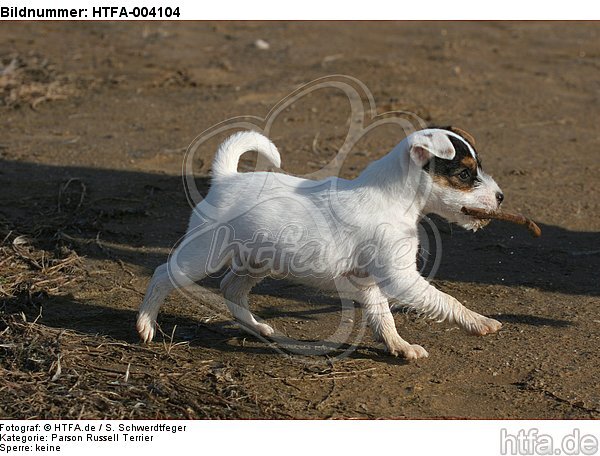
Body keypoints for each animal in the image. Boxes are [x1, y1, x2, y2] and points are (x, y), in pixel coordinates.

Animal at [135, 126, 502, 358]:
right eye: (465, 174)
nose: (501, 197)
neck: (392, 197)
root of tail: (227, 179)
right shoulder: (400, 278)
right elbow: (446, 300)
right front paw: (479, 322)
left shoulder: (368, 281)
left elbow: (383, 316)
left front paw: (398, 346)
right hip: (204, 255)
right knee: (163, 274)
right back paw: (146, 324)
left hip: (257, 261)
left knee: (231, 288)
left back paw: (256, 326)